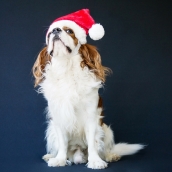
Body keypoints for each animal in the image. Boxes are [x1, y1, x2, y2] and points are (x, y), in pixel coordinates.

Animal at [32, 8, 144, 169]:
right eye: (50, 33)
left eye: (69, 31)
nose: (55, 30)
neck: (66, 67)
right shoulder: (59, 117)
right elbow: (62, 143)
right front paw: (59, 159)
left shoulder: (91, 116)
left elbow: (92, 143)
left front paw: (95, 161)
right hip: (51, 129)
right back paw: (51, 156)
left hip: (106, 129)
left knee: (104, 148)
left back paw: (110, 156)